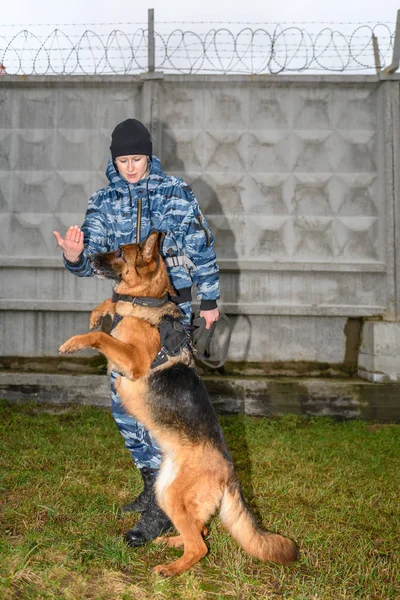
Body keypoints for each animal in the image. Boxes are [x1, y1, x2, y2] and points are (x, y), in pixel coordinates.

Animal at [59, 233, 296, 576]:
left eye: (120, 253)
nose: (88, 258)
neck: (146, 305)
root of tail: (230, 472)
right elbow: (111, 306)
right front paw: (100, 311)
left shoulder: (134, 361)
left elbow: (102, 338)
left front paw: (75, 341)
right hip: (165, 488)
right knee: (203, 530)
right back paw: (171, 542)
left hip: (172, 494)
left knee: (200, 545)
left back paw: (171, 568)